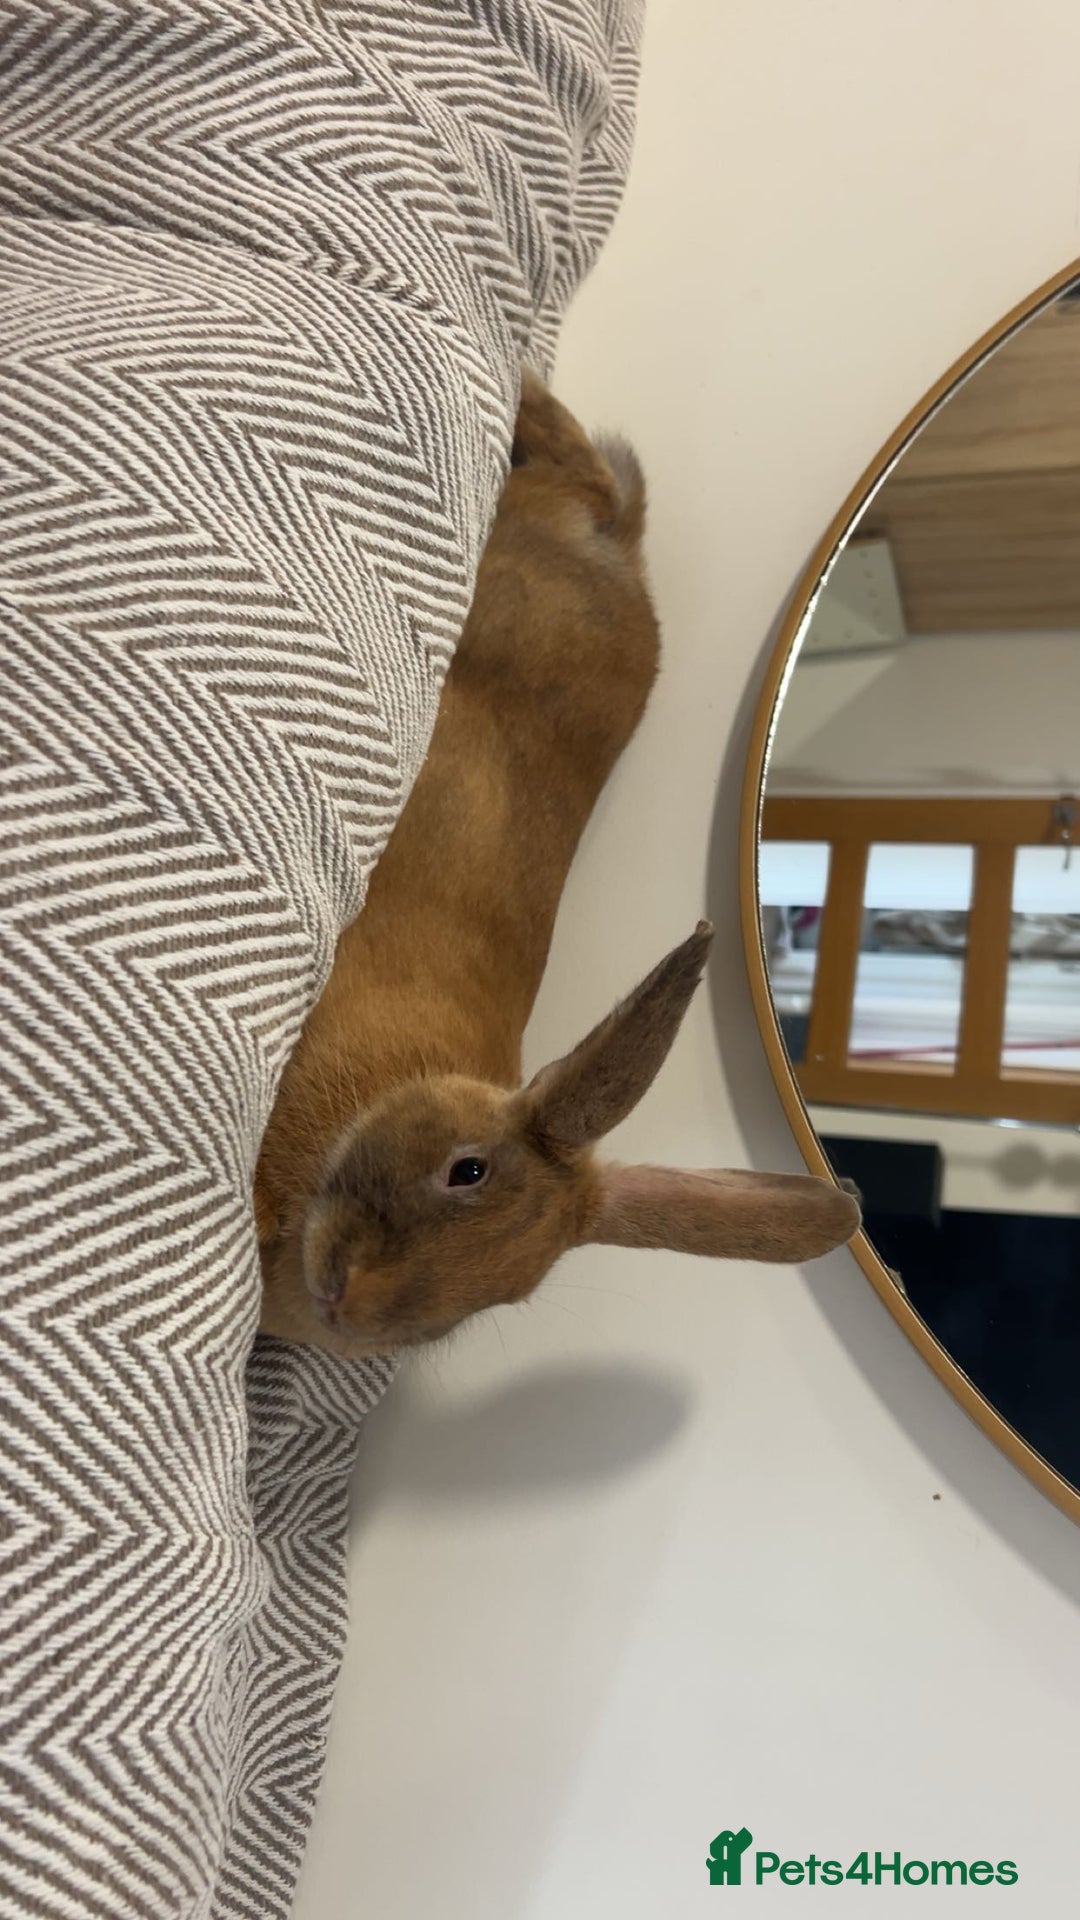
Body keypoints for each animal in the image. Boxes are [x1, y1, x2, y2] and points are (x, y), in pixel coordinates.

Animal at [254, 369, 860, 1356]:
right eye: (466, 1169)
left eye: (504, 1296)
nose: (347, 1302)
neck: (387, 1096)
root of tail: (621, 551)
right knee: (578, 465)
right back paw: (527, 389)